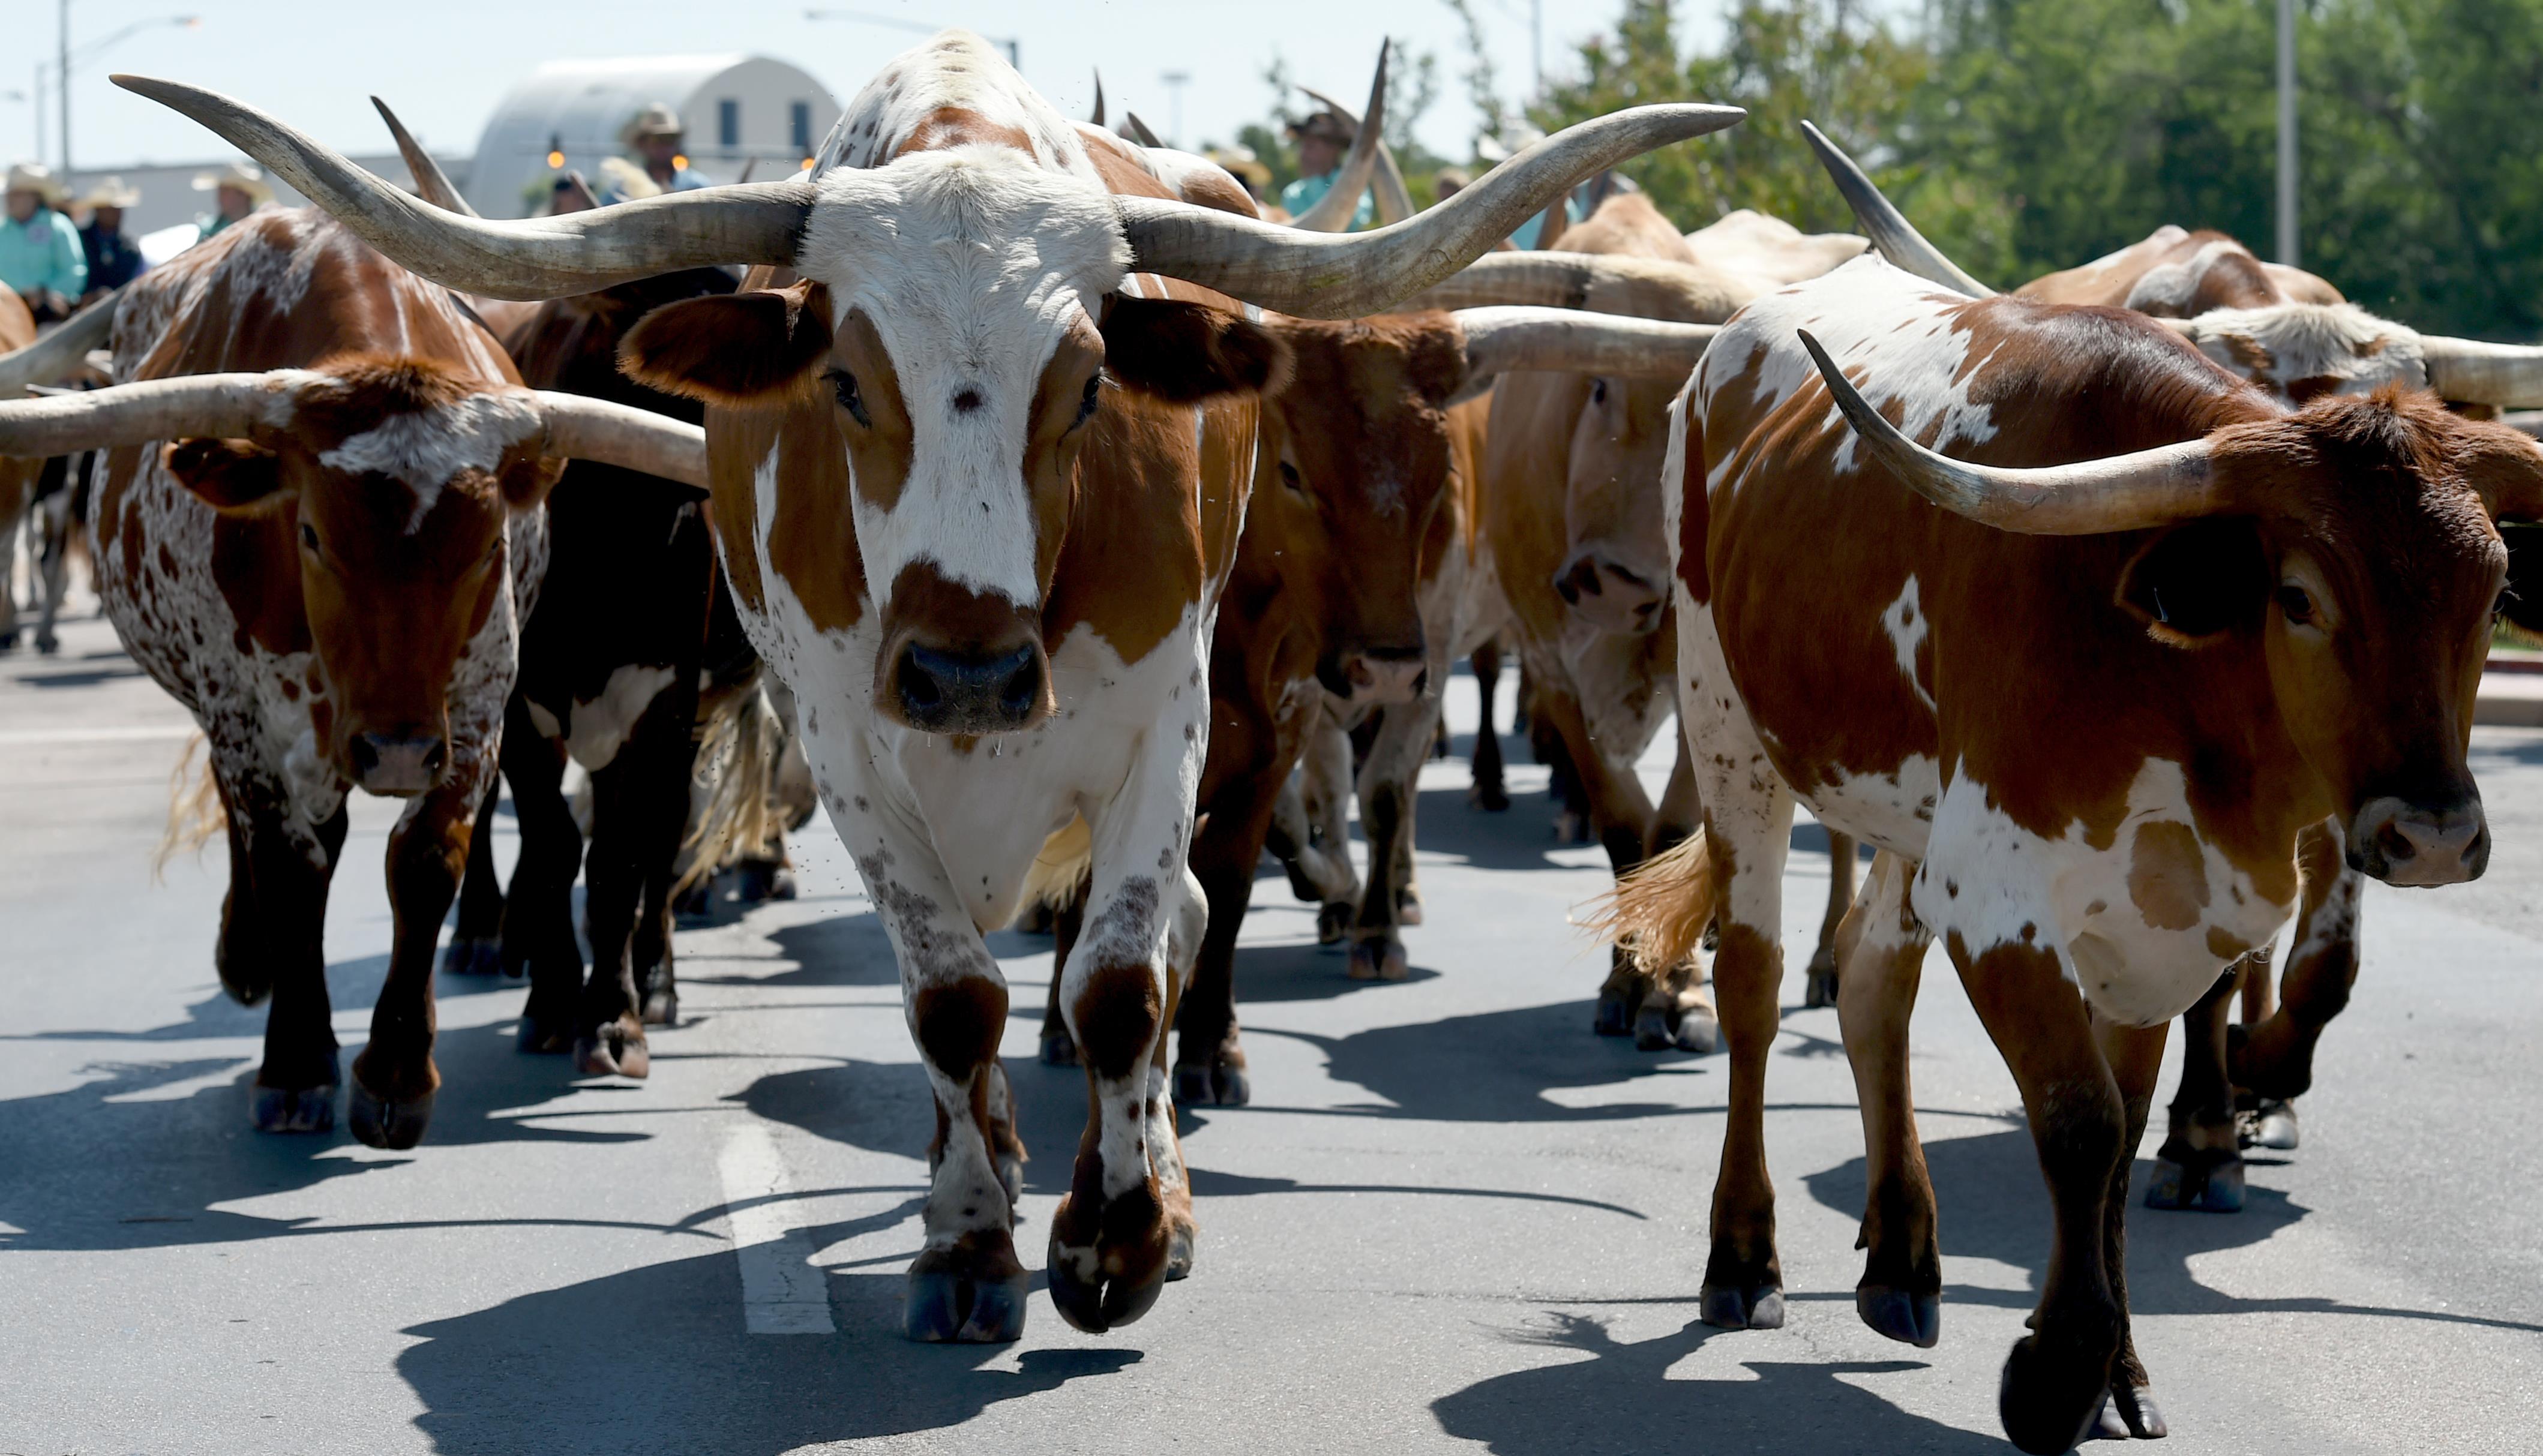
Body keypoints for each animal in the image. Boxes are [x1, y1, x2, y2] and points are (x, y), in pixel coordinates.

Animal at [0, 207, 708, 1150]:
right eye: (312, 535)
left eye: (489, 543)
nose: (395, 752)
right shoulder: (243, 713)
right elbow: (287, 865)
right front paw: (296, 1066)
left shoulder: (480, 703)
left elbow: (425, 858)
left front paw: (396, 1074)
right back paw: (250, 961)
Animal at [130, 31, 1744, 1339]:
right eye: (845, 381)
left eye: (1086, 385)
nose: (967, 667)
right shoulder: (845, 739)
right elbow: (950, 998)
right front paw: (969, 1246)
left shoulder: (1173, 716)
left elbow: (1122, 980)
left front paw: (1120, 1237)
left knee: (1168, 935)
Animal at [1599, 251, 2532, 1450]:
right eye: (2298, 597)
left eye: (2493, 595)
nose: (2433, 835)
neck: (2167, 674)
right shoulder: (1996, 897)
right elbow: (2079, 1123)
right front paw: (2056, 1374)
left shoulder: (2162, 920)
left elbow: (2121, 1133)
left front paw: (2116, 1371)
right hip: (1726, 725)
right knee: (1754, 987)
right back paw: (1742, 1256)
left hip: (1904, 807)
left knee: (1870, 980)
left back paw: (1901, 1256)